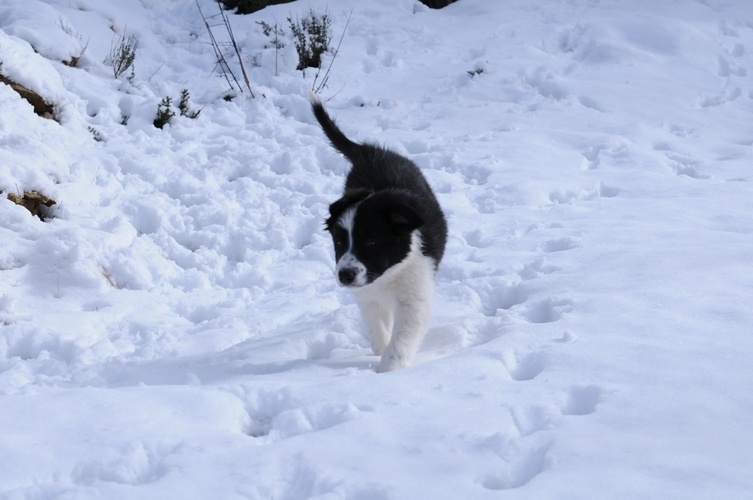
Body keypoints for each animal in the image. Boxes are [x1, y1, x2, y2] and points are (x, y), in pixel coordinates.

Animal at [310, 93, 446, 376]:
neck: (386, 277)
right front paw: (379, 350)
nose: (345, 275)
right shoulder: (367, 297)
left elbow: (401, 338)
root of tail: (370, 152)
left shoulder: (414, 297)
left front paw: (388, 371)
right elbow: (376, 326)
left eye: (372, 242)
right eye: (339, 242)